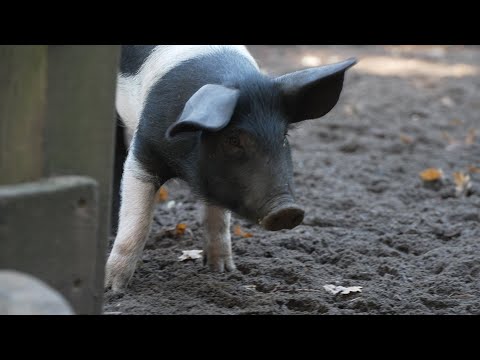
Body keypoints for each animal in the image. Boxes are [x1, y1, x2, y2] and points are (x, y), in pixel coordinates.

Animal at [106, 45, 356, 292]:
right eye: (233, 139)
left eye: (284, 135)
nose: (287, 209)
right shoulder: (144, 150)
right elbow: (138, 221)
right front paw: (114, 288)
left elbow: (218, 219)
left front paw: (223, 271)